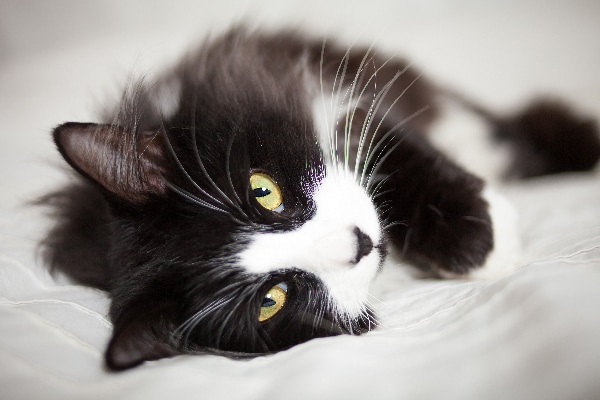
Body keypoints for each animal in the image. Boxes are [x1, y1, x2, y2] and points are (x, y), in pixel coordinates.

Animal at [42, 28, 600, 372]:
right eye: (272, 300)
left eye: (262, 191)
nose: (359, 244)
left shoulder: (308, 89)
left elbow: (393, 148)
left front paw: (480, 234)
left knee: (515, 127)